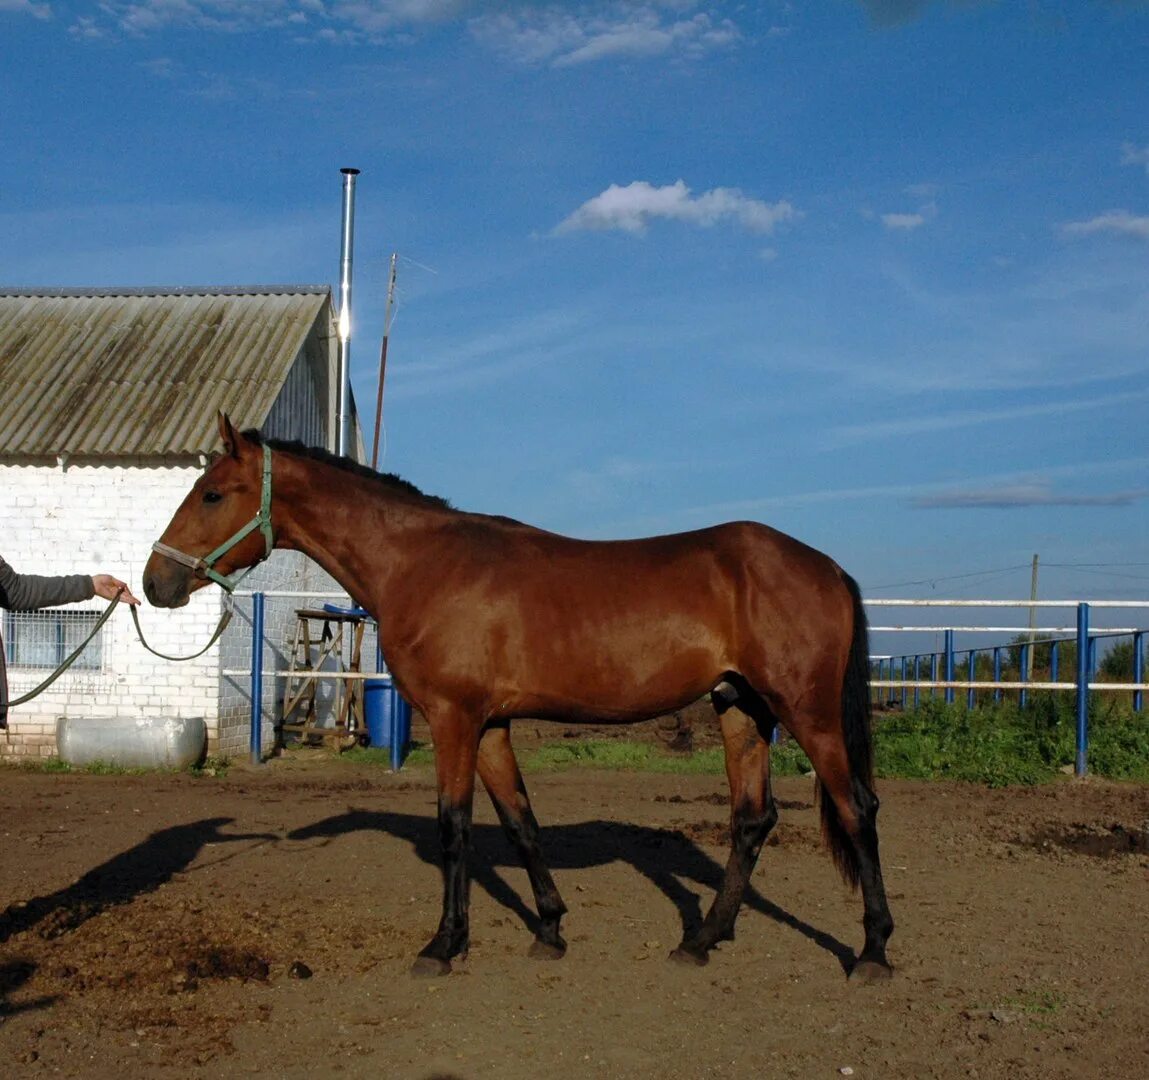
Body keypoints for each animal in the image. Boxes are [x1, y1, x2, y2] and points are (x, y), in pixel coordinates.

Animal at [145, 413, 896, 978]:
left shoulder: (452, 719)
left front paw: (444, 945)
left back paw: (872, 951)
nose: (157, 582)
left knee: (856, 809)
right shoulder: (491, 726)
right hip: (741, 707)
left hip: (806, 712)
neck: (423, 564)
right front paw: (550, 928)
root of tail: (826, 567)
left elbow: (453, 827)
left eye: (213, 493)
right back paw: (701, 940)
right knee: (751, 820)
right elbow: (520, 822)